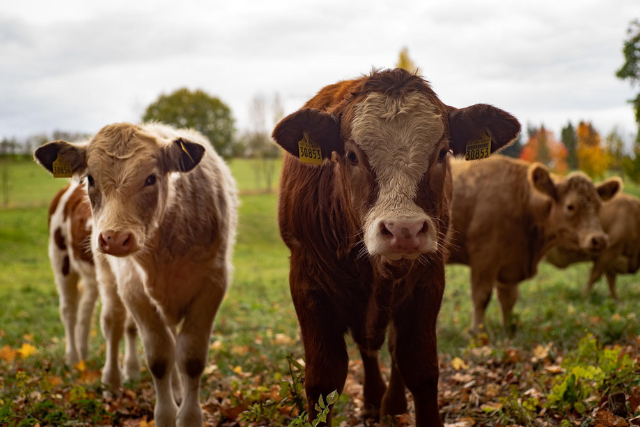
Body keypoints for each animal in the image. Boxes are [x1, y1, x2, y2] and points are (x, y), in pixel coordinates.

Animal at [46, 181, 139, 378]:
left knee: (85, 308)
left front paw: (131, 370)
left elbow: (132, 324)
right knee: (69, 310)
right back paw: (72, 357)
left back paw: (83, 354)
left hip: (91, 275)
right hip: (61, 258)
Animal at [272, 68, 524, 426]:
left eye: (442, 153)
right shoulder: (307, 282)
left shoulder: (428, 280)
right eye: (352, 155)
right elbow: (323, 379)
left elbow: (420, 368)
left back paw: (390, 404)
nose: (404, 230)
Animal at [444, 155, 620, 336]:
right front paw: (478, 333)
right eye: (570, 206)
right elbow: (481, 297)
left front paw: (508, 331)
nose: (599, 239)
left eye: (599, 207)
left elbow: (508, 300)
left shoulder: (509, 264)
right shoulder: (484, 259)